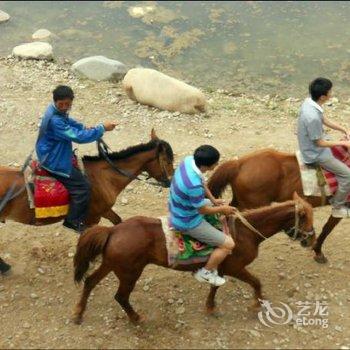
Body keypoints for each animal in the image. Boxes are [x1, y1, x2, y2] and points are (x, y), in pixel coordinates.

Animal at [0, 130, 175, 272]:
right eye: (167, 161)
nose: (171, 182)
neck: (104, 177)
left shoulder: (104, 210)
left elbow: (118, 221)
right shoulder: (93, 217)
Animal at [72, 193, 314, 324]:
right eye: (306, 218)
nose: (311, 240)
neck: (247, 232)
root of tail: (113, 231)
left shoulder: (222, 268)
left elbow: (214, 287)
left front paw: (210, 307)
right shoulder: (236, 267)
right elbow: (256, 282)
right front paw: (256, 304)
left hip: (111, 265)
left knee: (90, 282)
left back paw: (79, 312)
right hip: (130, 272)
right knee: (120, 297)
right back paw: (136, 318)